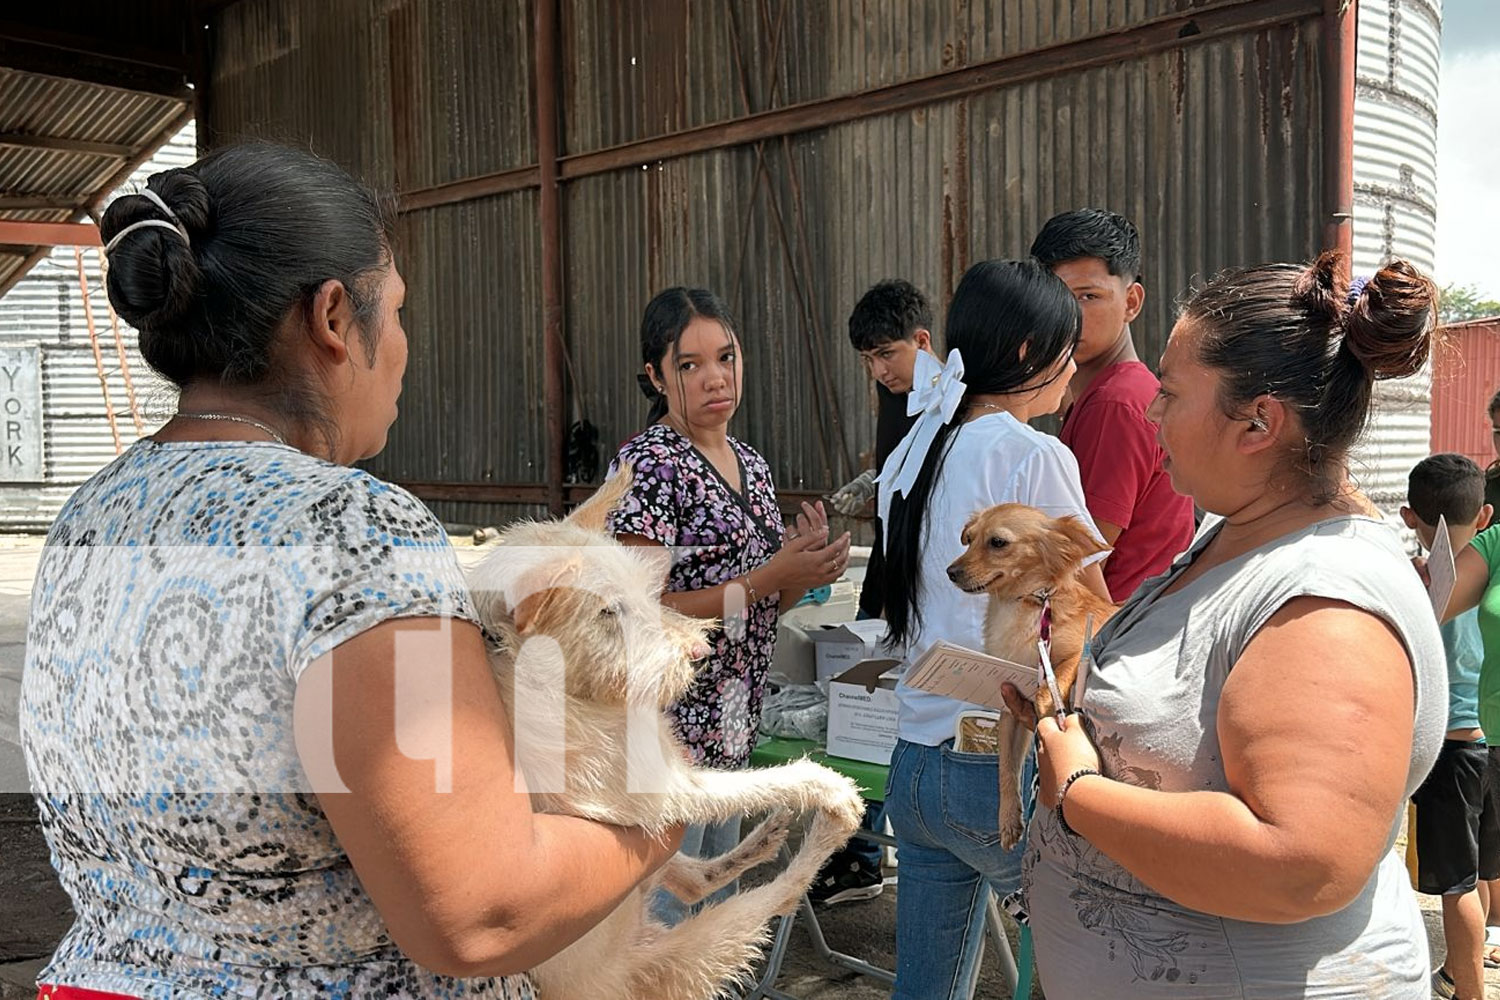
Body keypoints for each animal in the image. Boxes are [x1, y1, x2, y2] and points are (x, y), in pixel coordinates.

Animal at [468, 470, 870, 1000]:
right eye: (608, 612)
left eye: (646, 589)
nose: (700, 651)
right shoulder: (668, 788)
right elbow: (757, 781)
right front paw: (829, 786)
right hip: (684, 952)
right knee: (773, 897)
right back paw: (824, 830)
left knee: (692, 880)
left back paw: (759, 842)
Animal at [948, 503, 1116, 851]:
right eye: (968, 540)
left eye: (998, 543)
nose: (951, 571)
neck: (1023, 606)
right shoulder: (1009, 712)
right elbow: (1006, 770)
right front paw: (1009, 819)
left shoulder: (1082, 649)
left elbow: (1052, 681)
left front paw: (1049, 707)